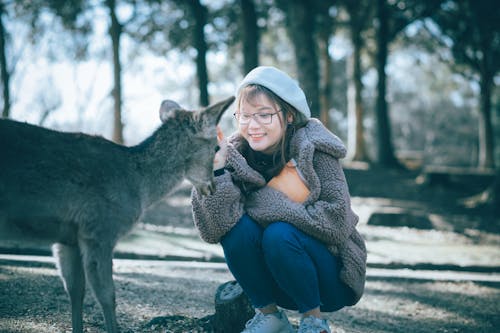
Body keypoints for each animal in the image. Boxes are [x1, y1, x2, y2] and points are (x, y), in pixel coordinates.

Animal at [0, 94, 234, 330]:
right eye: (216, 147)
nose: (212, 186)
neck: (138, 186)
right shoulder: (100, 229)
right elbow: (107, 296)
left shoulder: (68, 239)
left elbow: (75, 291)